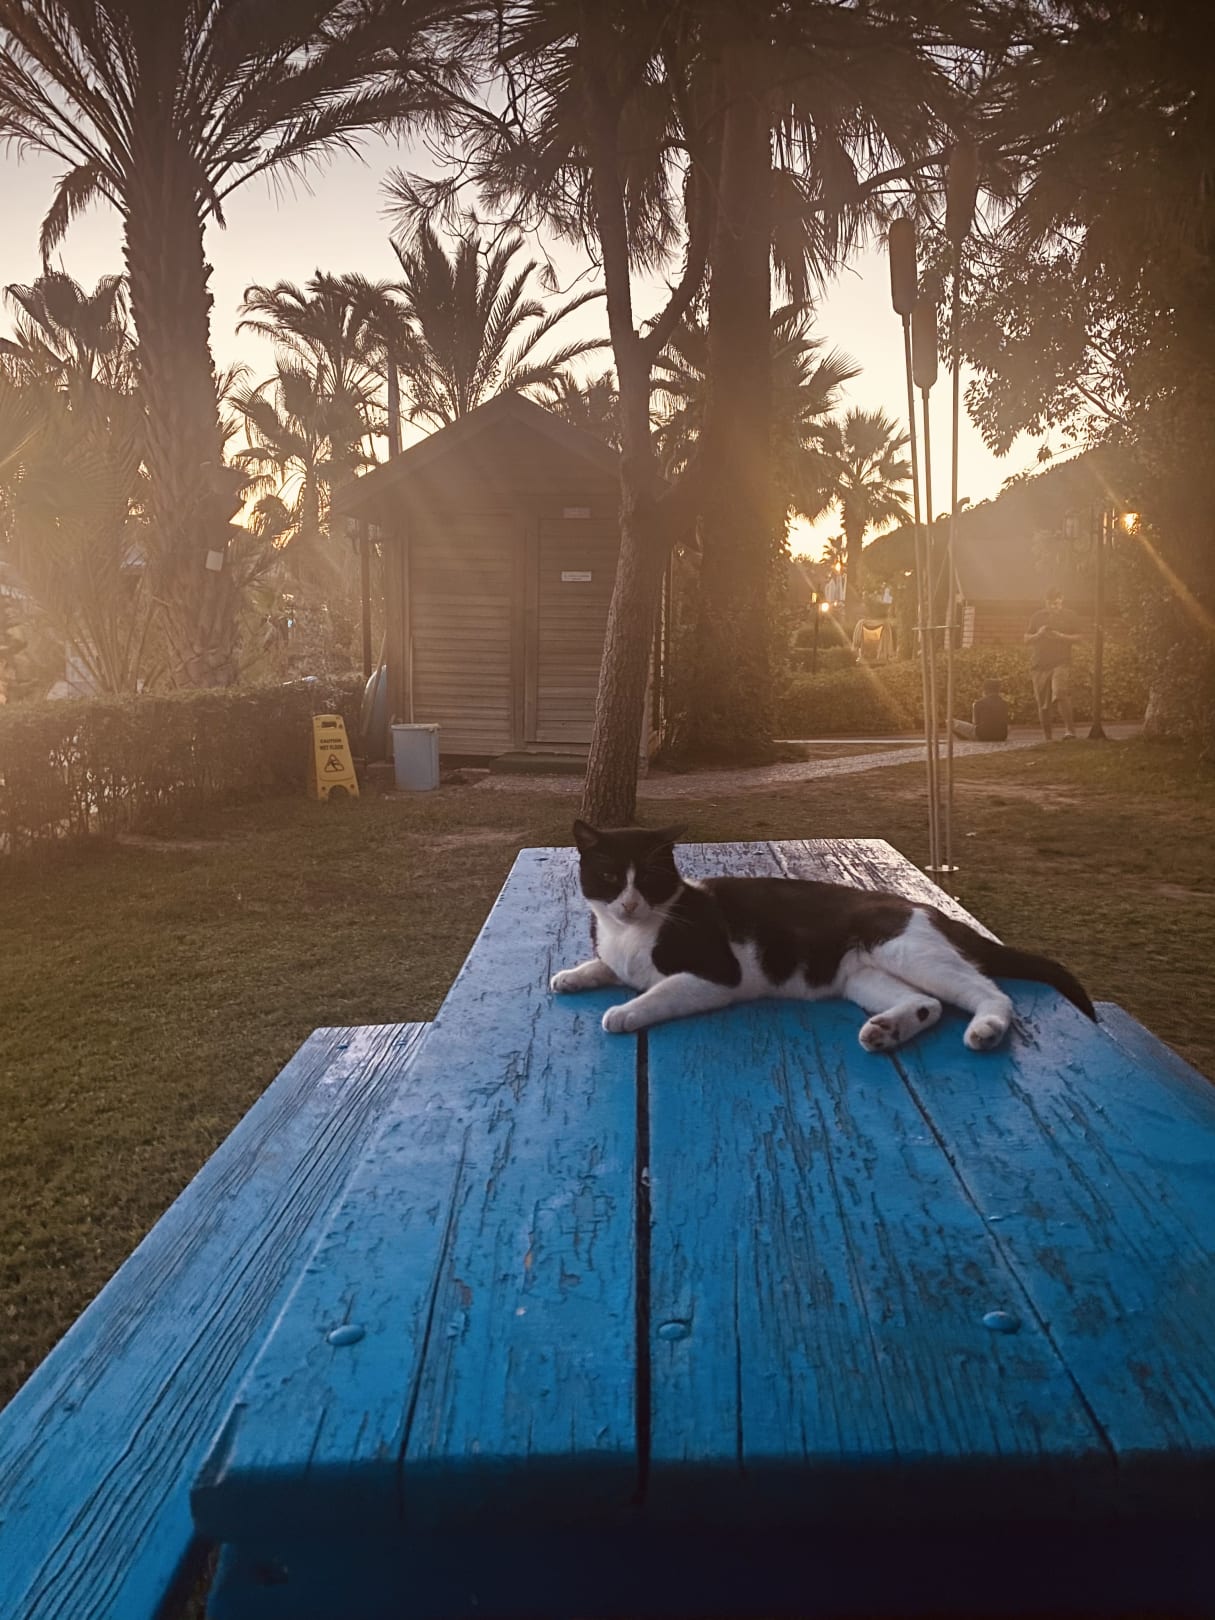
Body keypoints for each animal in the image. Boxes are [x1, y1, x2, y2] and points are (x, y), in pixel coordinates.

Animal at [550, 820, 1095, 1051]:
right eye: (609, 878)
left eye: (647, 879)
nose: (628, 903)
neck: (632, 932)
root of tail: (923, 905)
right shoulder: (615, 951)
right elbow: (603, 964)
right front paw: (572, 975)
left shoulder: (717, 974)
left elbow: (659, 991)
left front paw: (624, 1012)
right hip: (861, 976)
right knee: (929, 1003)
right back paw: (889, 1029)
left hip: (904, 948)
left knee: (992, 992)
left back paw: (986, 1029)